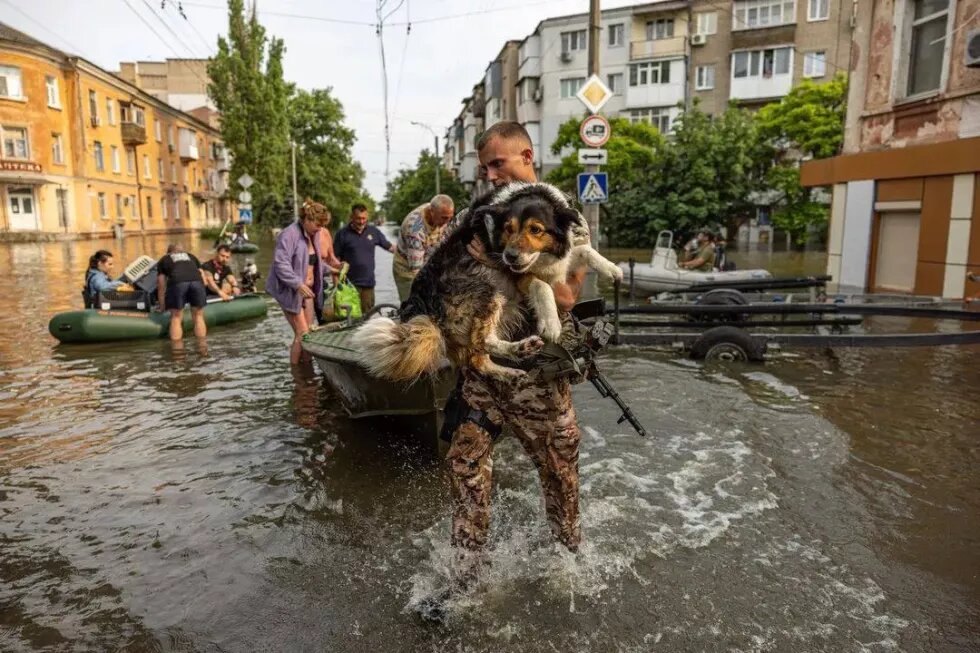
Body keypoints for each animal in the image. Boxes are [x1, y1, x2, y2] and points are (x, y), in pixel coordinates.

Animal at [358, 181, 620, 380]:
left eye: (535, 229)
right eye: (508, 228)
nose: (510, 256)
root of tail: (428, 313)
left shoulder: (555, 262)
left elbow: (584, 250)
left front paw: (612, 269)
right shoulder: (517, 274)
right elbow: (542, 285)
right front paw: (551, 323)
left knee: (477, 357)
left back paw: (511, 365)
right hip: (488, 292)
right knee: (482, 341)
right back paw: (519, 350)